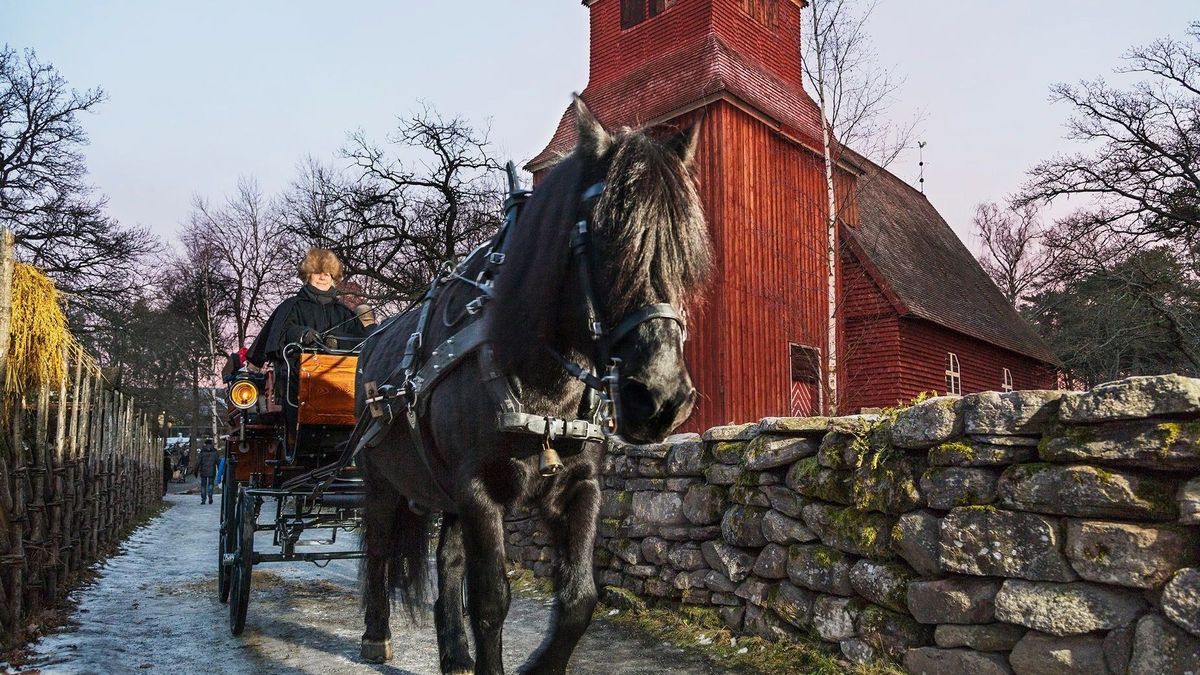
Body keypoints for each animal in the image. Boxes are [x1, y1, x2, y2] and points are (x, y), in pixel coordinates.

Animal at [352, 96, 710, 672]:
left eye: (686, 252)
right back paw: (376, 633)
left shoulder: (579, 486)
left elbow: (580, 599)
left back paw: (454, 652)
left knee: (448, 561)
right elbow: (491, 600)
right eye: (607, 237)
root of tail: (369, 344)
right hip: (381, 482)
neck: (541, 384)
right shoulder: (478, 492)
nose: (660, 398)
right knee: (380, 550)